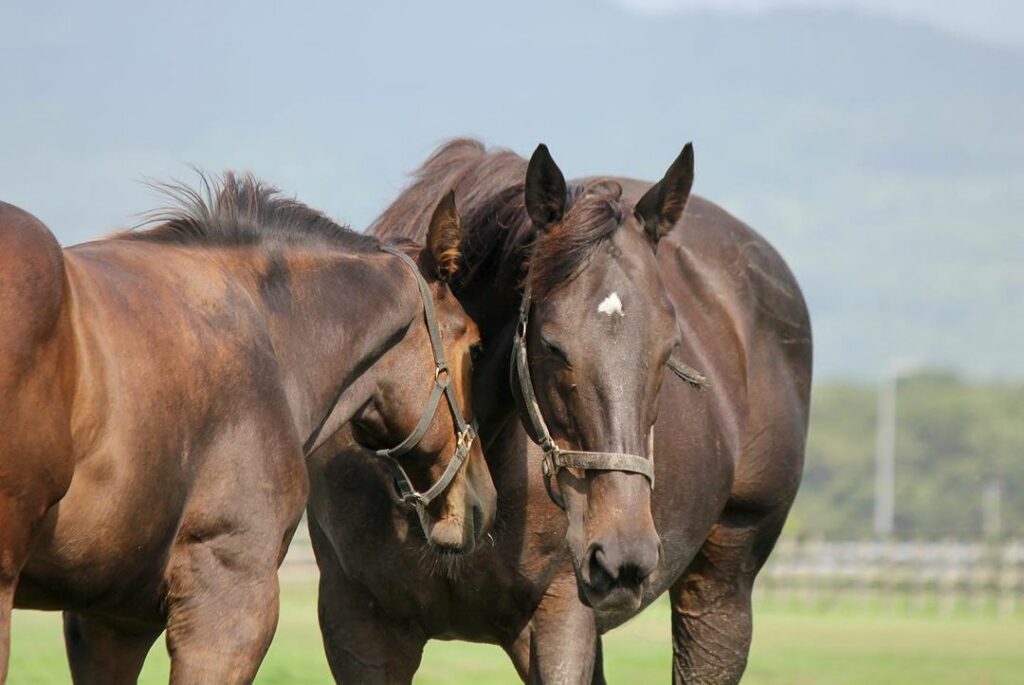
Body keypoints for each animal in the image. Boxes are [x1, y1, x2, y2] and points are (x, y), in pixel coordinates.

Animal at [307, 140, 811, 683]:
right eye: (551, 344)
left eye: (669, 349)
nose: (624, 555)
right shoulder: (357, 623)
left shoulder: (562, 618)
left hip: (724, 580)